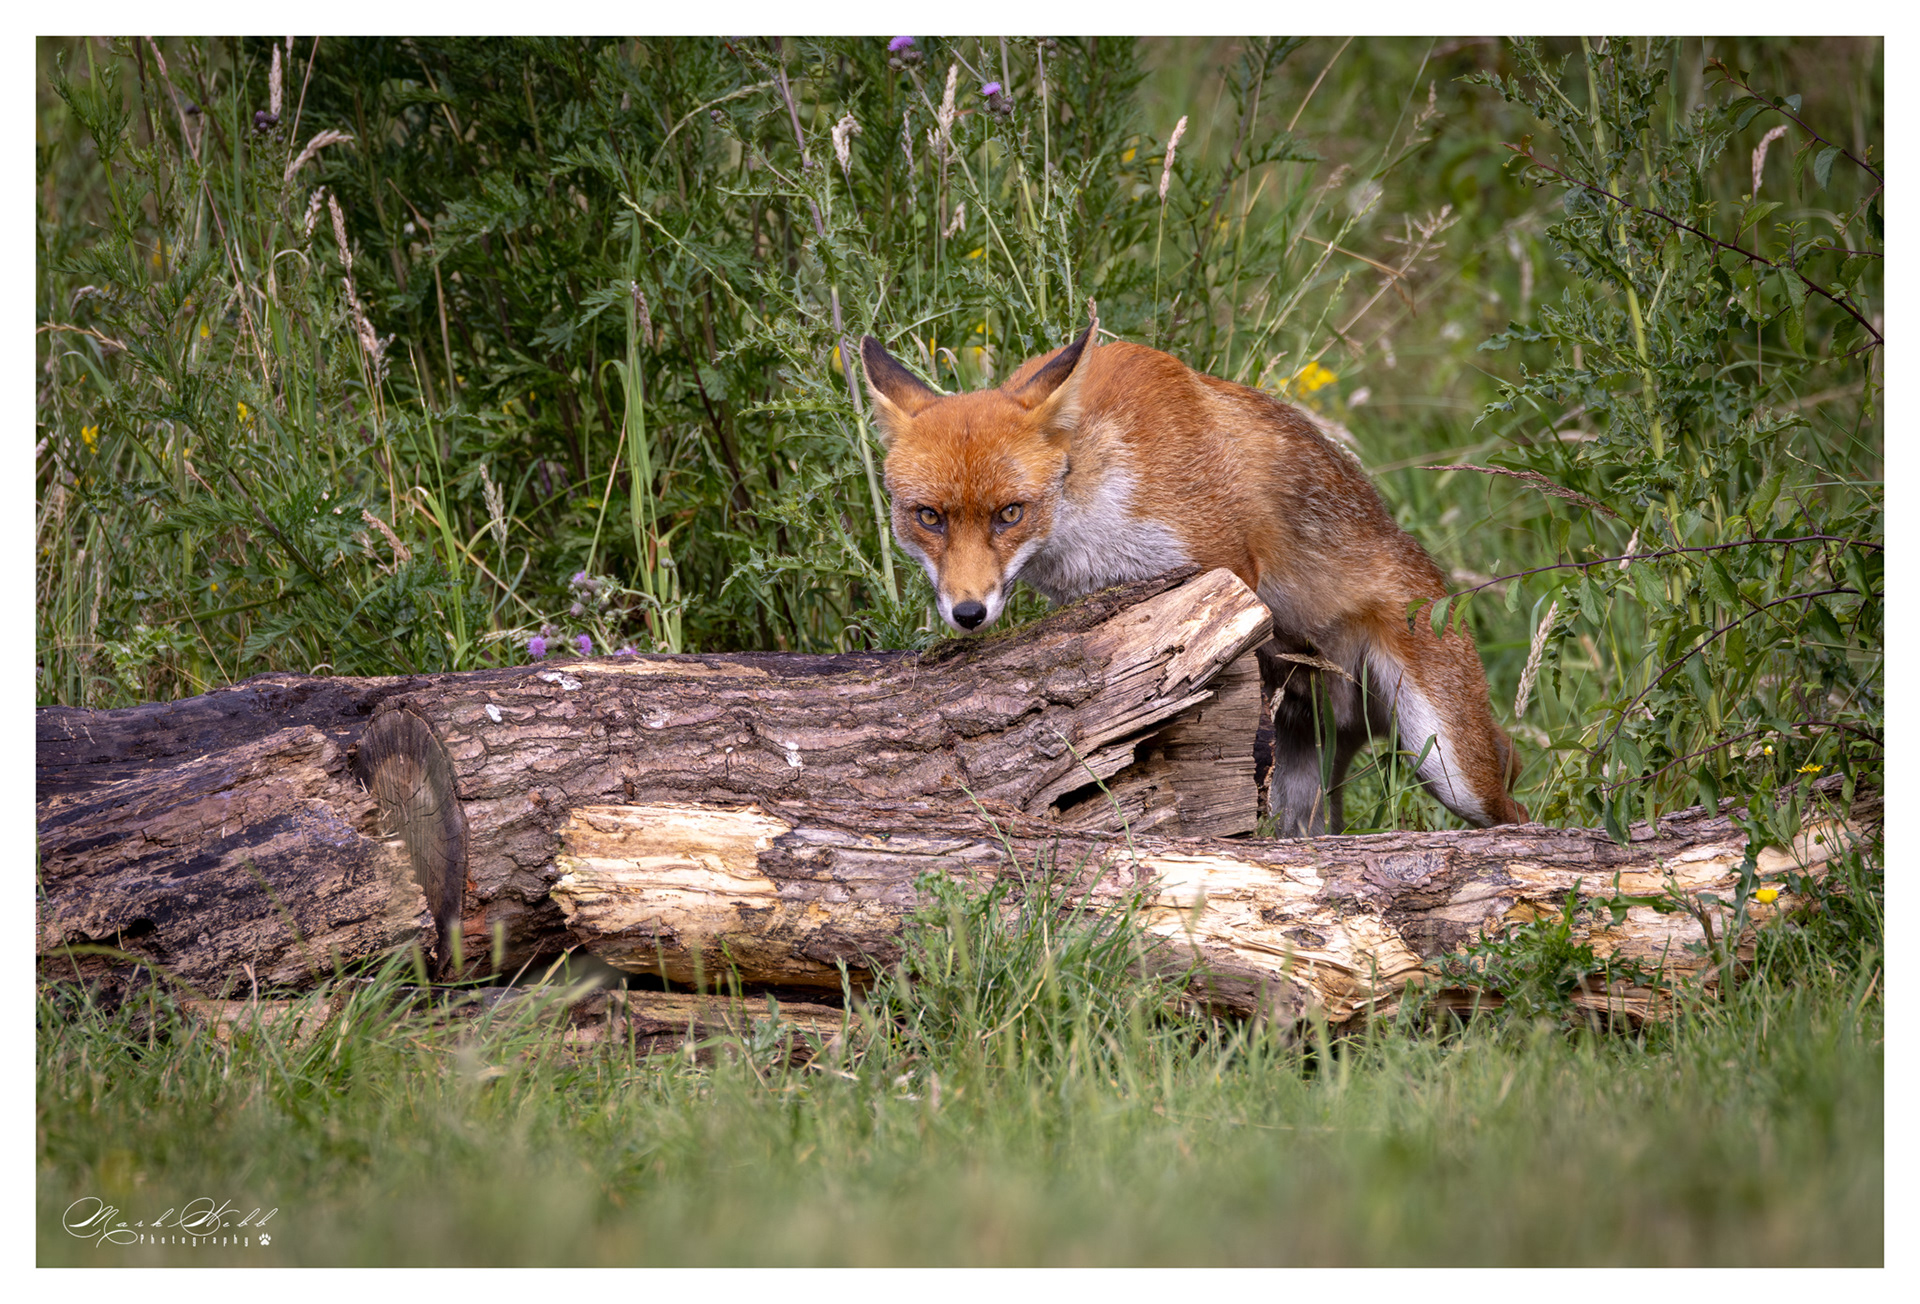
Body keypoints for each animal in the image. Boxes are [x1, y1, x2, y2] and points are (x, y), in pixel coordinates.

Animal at [859, 310, 1528, 835]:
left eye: (1009, 513)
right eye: (928, 517)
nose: (968, 614)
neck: (1091, 511)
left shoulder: (1230, 574)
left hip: (1447, 768)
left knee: (1515, 811)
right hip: (1310, 783)